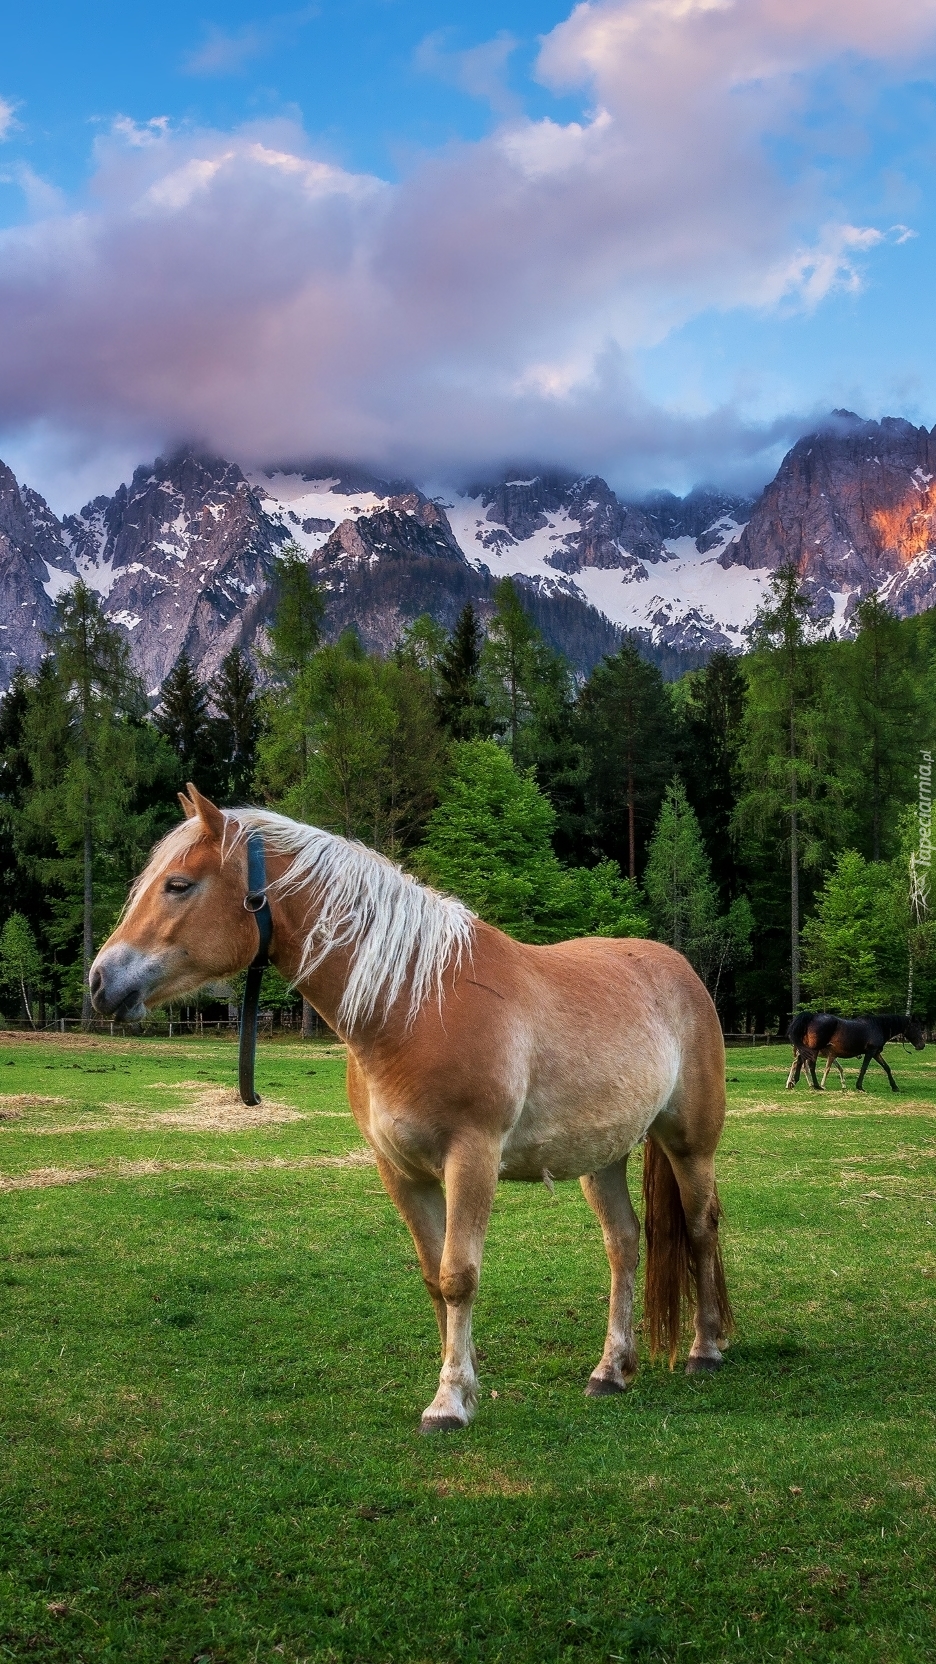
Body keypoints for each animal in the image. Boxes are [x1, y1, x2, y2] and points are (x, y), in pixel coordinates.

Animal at [89, 788, 729, 1431]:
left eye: (178, 885)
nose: (100, 982)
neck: (413, 1006)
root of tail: (680, 970)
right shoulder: (400, 1170)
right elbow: (432, 1275)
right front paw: (464, 1382)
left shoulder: (472, 1158)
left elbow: (458, 1275)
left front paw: (448, 1402)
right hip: (602, 1157)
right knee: (623, 1244)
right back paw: (611, 1370)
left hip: (689, 1144)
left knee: (701, 1225)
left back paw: (706, 1348)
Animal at [782, 1005, 919, 1098]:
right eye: (918, 1027)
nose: (921, 1045)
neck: (877, 1026)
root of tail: (811, 1017)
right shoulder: (870, 1052)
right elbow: (862, 1068)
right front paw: (859, 1086)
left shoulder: (874, 1053)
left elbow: (886, 1067)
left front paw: (895, 1087)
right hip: (813, 1050)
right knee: (807, 1065)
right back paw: (813, 1085)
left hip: (807, 1050)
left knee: (800, 1063)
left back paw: (796, 1082)